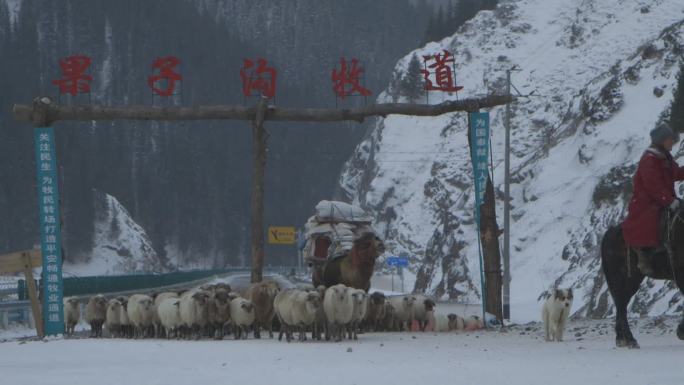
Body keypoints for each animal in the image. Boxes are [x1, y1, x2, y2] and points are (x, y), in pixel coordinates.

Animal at [600, 214, 684, 346]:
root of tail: (610, 233)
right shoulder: (679, 271)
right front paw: (681, 331)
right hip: (624, 279)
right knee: (621, 304)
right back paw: (629, 339)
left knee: (621, 304)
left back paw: (622, 338)